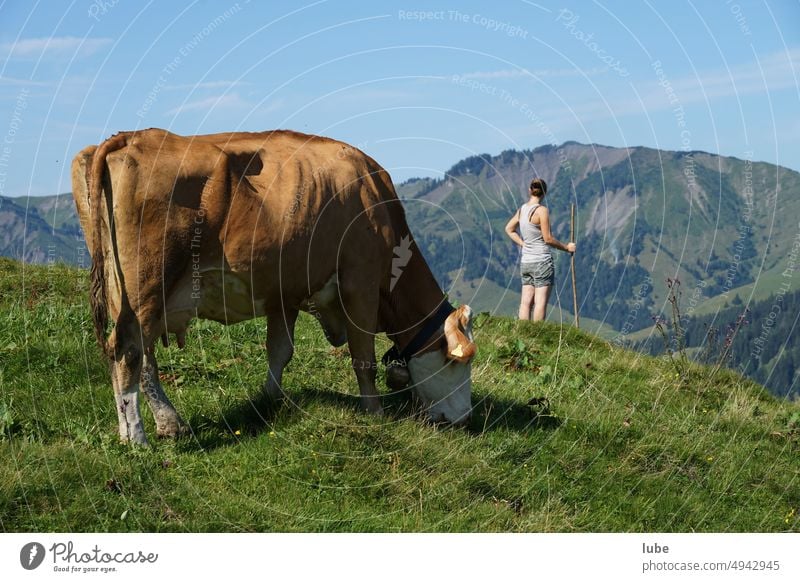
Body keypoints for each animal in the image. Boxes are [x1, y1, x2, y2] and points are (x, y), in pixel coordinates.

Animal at [72, 129, 476, 448]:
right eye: (457, 361)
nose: (465, 420)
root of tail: (134, 136)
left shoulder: (286, 293)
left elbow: (280, 351)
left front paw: (271, 399)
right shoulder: (359, 281)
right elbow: (363, 357)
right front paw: (373, 412)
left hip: (128, 294)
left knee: (143, 357)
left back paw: (169, 424)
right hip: (148, 284)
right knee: (128, 352)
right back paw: (135, 437)